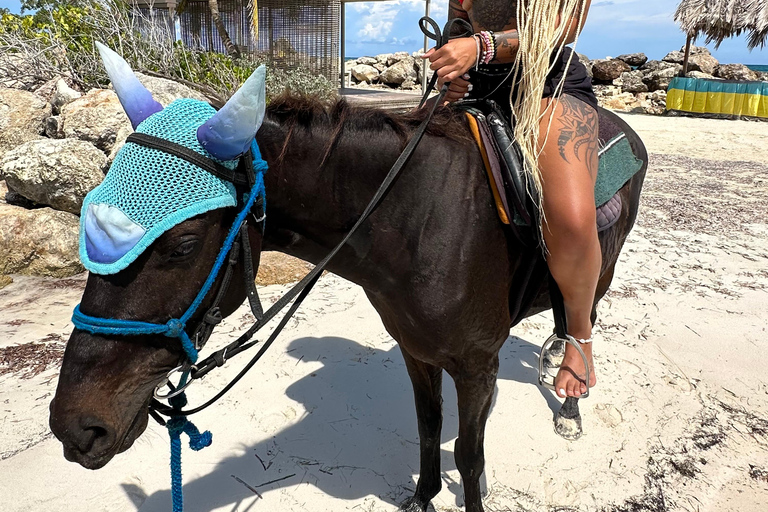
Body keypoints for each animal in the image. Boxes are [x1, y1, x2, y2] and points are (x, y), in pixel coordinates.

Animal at [49, 69, 648, 512]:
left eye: (183, 244)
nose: (74, 427)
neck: (420, 218)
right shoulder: (417, 351)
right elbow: (429, 429)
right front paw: (422, 497)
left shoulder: (479, 365)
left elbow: (469, 455)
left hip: (599, 265)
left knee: (583, 316)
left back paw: (569, 395)